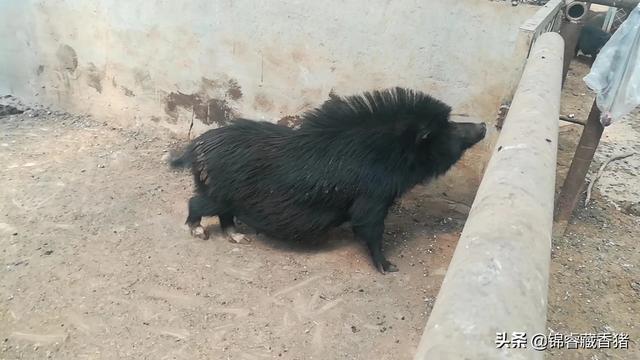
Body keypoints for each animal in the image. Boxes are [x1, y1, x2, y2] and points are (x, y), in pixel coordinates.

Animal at [170, 87, 484, 272]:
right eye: (449, 128)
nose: (482, 125)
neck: (388, 154)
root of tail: (197, 147)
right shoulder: (373, 199)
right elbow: (370, 229)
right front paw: (389, 268)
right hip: (218, 193)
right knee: (195, 202)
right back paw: (199, 232)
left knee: (224, 215)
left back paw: (239, 238)